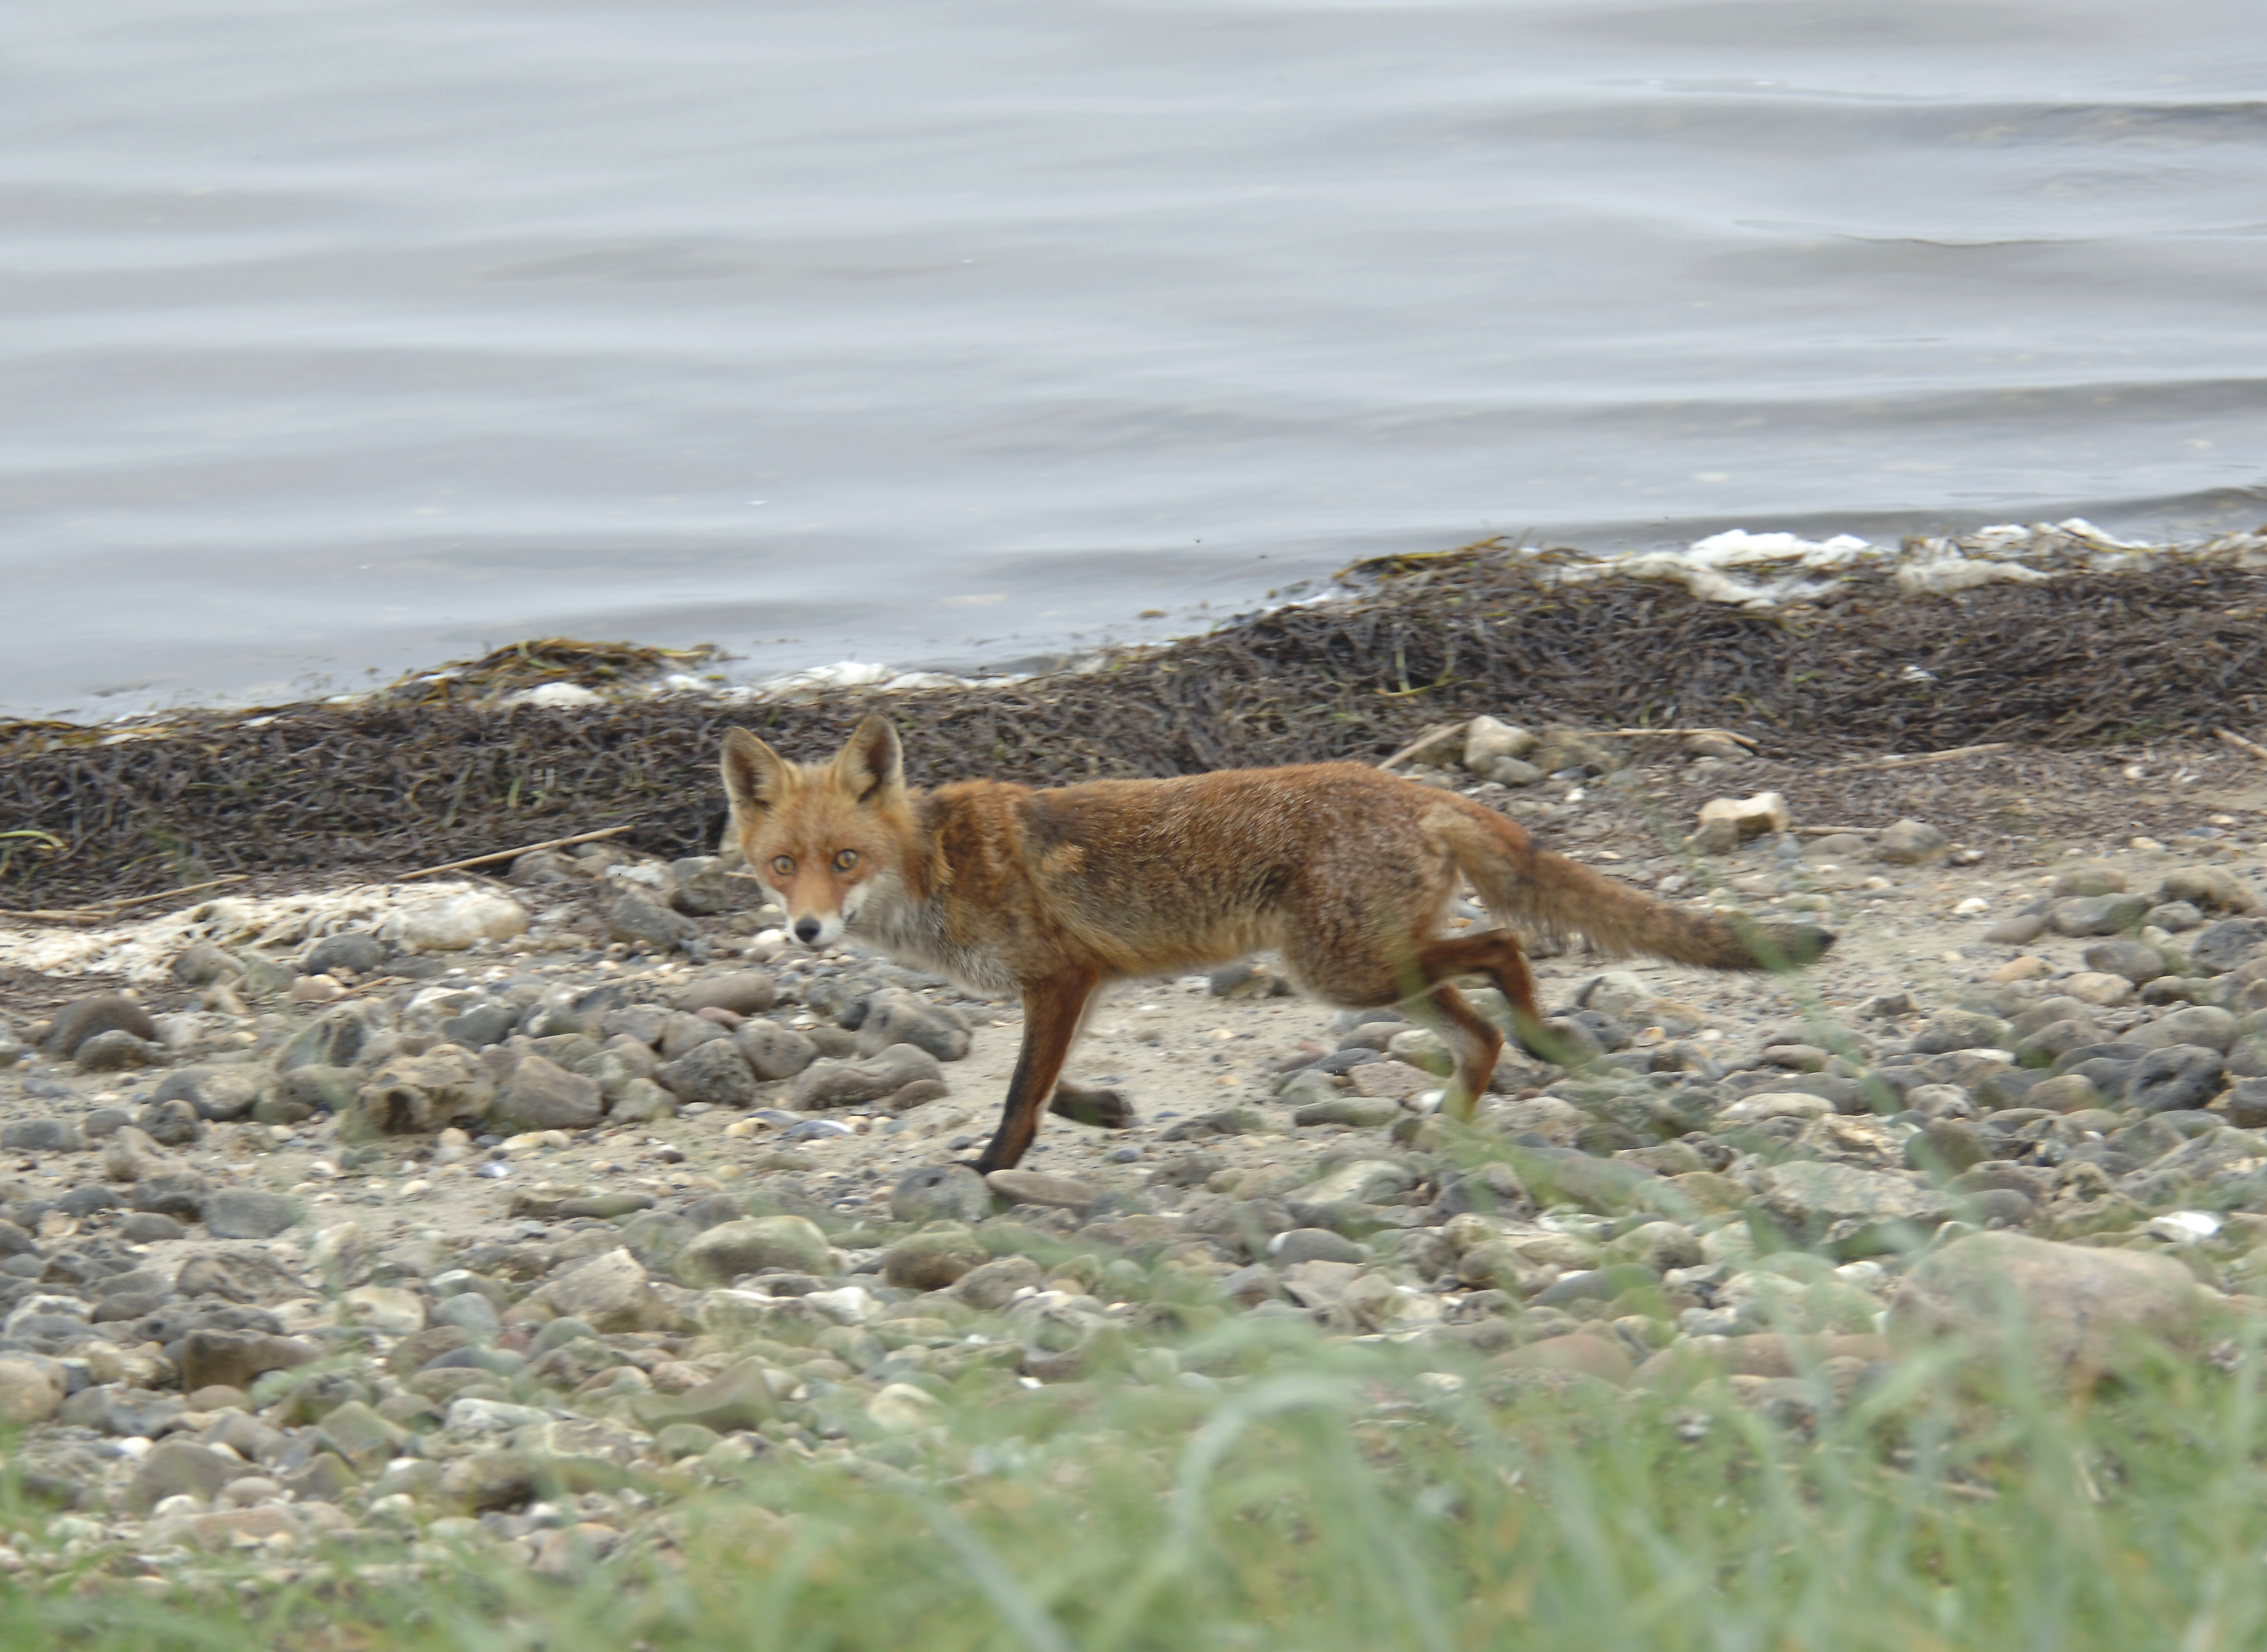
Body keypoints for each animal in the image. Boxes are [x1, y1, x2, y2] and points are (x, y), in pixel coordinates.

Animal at [716, 716, 1831, 1169]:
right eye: (783, 864)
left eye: (845, 858)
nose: (806, 929)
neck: (938, 866)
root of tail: (1413, 786)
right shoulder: (1081, 981)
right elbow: (1048, 1082)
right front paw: (1103, 1109)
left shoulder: (1059, 973)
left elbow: (1019, 1093)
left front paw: (990, 1167)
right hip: (1371, 966)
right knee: (1477, 1024)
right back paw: (1452, 1121)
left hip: (1341, 969)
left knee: (1506, 945)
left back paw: (1536, 1037)